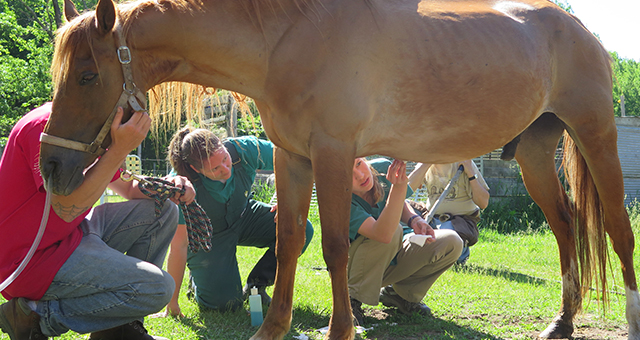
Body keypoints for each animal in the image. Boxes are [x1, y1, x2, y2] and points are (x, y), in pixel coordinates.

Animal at [41, 0, 640, 338]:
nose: (51, 167)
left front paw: (340, 331)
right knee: (565, 227)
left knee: (618, 229)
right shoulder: (292, 155)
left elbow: (334, 248)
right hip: (537, 152)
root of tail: (581, 31)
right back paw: (561, 322)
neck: (288, 36)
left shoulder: (331, 153)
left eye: (88, 75)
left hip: (596, 136)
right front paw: (273, 330)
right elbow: (287, 241)